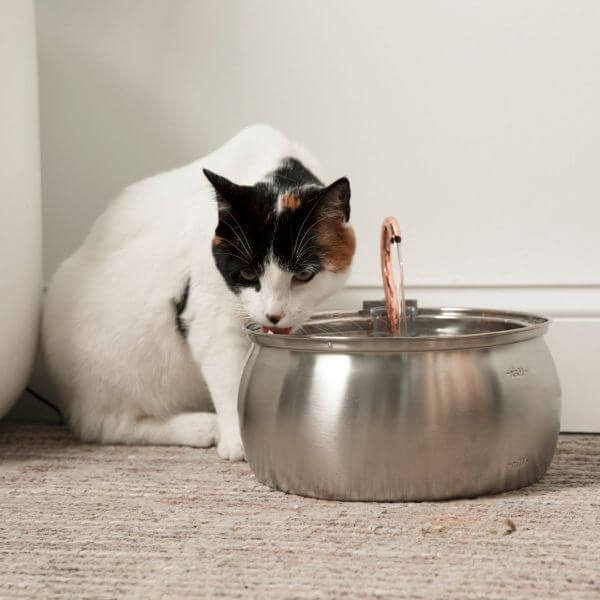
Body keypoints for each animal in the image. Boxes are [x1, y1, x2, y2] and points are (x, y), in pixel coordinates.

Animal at [42, 123, 356, 460]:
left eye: (303, 276)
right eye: (247, 273)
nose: (273, 315)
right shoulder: (210, 317)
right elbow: (229, 379)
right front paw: (239, 441)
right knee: (107, 424)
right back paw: (201, 426)